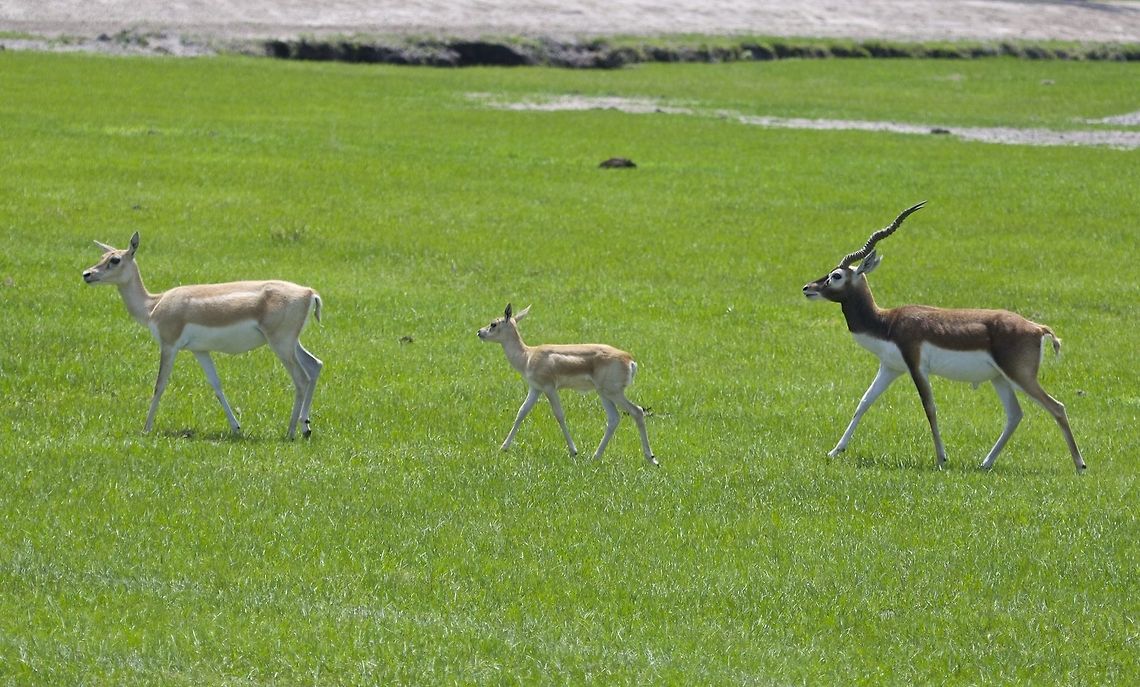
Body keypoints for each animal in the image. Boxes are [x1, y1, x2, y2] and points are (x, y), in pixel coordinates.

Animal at [82, 232, 323, 439]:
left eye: (115, 259)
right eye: (101, 257)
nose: (87, 274)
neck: (153, 305)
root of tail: (309, 292)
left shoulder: (169, 345)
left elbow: (159, 385)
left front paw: (146, 428)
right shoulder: (200, 350)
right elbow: (216, 385)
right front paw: (236, 428)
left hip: (280, 344)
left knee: (301, 378)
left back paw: (290, 432)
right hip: (291, 343)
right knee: (315, 365)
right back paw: (305, 427)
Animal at [477, 304, 657, 465]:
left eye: (493, 324)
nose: (479, 332)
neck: (528, 356)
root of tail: (630, 360)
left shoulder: (549, 388)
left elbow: (559, 415)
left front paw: (573, 450)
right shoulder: (535, 388)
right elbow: (521, 412)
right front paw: (503, 447)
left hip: (613, 393)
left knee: (637, 411)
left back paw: (652, 459)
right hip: (603, 394)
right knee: (614, 418)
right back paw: (596, 457)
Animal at [802, 202, 1085, 472]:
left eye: (836, 276)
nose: (807, 288)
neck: (887, 323)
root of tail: (1037, 328)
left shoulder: (916, 365)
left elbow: (930, 407)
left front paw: (941, 458)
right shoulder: (891, 367)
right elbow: (863, 402)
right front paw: (834, 451)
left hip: (1020, 375)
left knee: (1057, 407)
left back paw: (1080, 465)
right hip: (1000, 378)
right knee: (1015, 415)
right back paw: (985, 463)